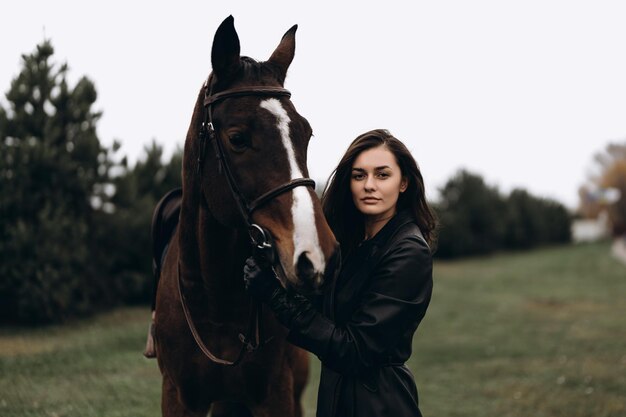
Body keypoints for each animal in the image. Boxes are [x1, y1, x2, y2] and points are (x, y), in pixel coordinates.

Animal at [155, 15, 338, 416]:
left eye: (306, 133)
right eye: (238, 138)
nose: (317, 256)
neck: (215, 302)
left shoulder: (276, 394)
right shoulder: (179, 396)